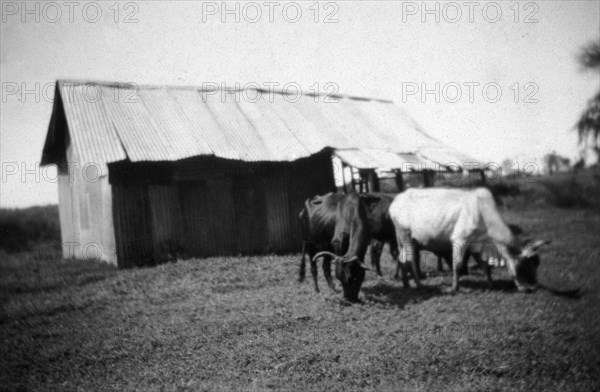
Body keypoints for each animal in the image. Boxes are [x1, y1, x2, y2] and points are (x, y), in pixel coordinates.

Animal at [390, 188, 548, 292]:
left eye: (536, 264)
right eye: (526, 265)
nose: (533, 287)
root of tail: (396, 201)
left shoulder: (477, 245)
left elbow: (485, 266)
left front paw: (491, 284)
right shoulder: (460, 240)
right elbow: (457, 265)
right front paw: (454, 288)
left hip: (403, 241)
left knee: (402, 260)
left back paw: (406, 284)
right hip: (406, 237)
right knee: (410, 261)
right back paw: (419, 285)